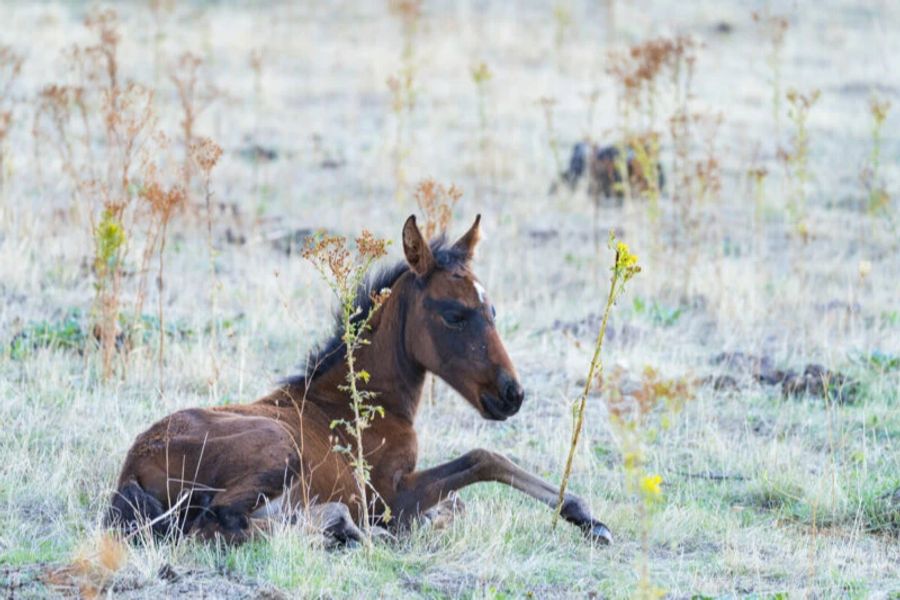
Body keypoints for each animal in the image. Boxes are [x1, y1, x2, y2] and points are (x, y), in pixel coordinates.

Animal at [105, 214, 612, 544]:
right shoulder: (390, 495)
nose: (512, 394)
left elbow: (461, 497)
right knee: (222, 522)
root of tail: (131, 467)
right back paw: (346, 528)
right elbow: (484, 458)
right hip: (278, 449)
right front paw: (587, 516)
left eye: (492, 310)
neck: (356, 401)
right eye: (454, 314)